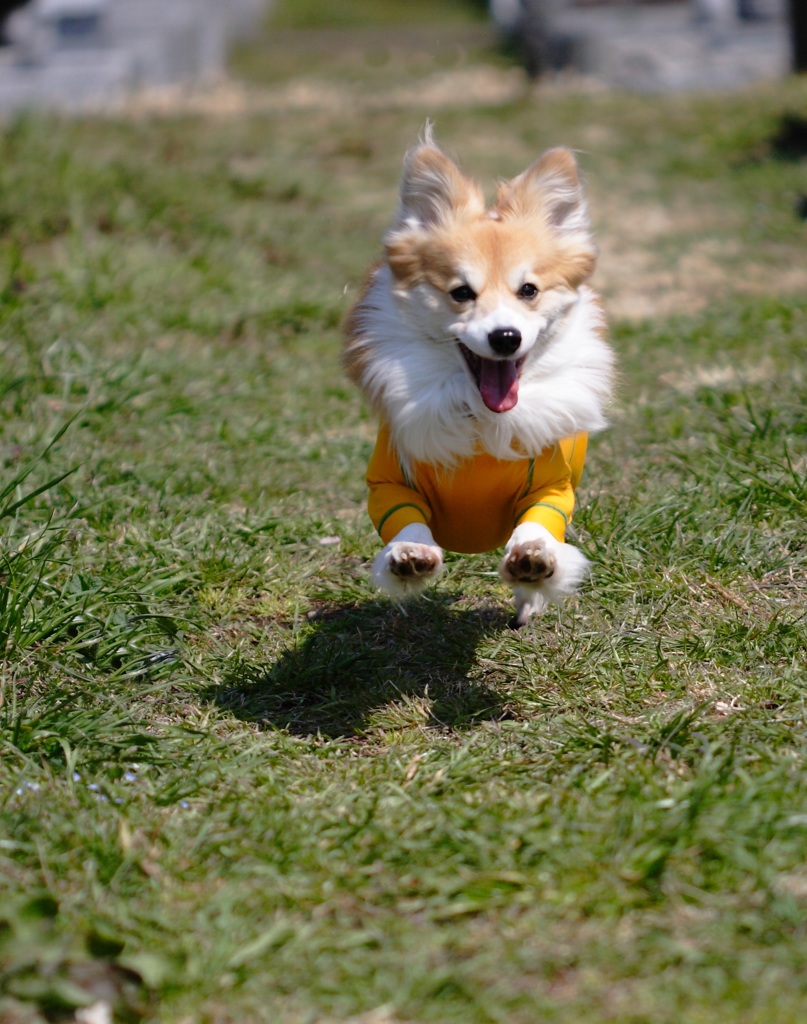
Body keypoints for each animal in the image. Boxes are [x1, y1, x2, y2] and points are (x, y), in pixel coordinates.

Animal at [344, 128, 614, 622]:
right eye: (460, 293)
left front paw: (532, 560)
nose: (505, 336)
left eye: (528, 290)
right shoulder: (389, 482)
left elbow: (540, 525)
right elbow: (403, 520)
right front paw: (410, 554)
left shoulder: (552, 486)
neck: (478, 412)